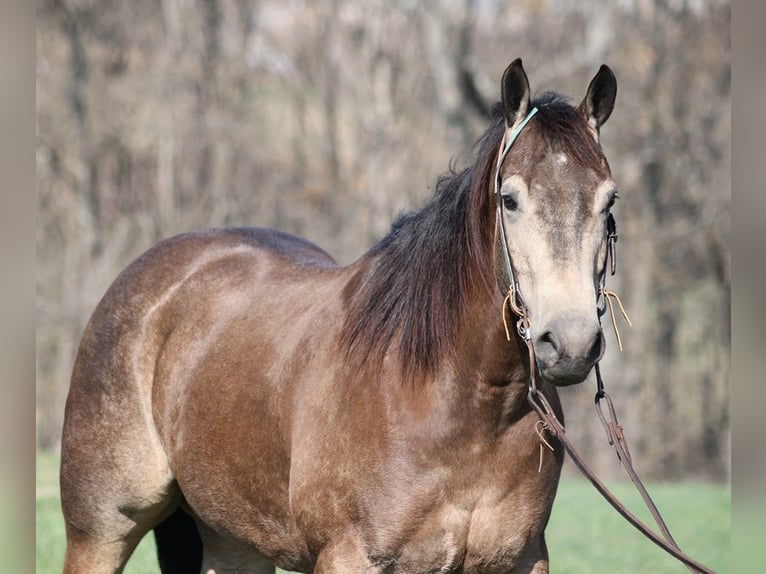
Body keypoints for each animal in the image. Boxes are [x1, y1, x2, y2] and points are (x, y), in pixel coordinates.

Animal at [63, 59, 620, 574]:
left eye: (609, 200)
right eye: (510, 199)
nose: (570, 342)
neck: (459, 405)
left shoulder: (522, 559)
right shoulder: (350, 557)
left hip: (233, 540)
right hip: (101, 531)